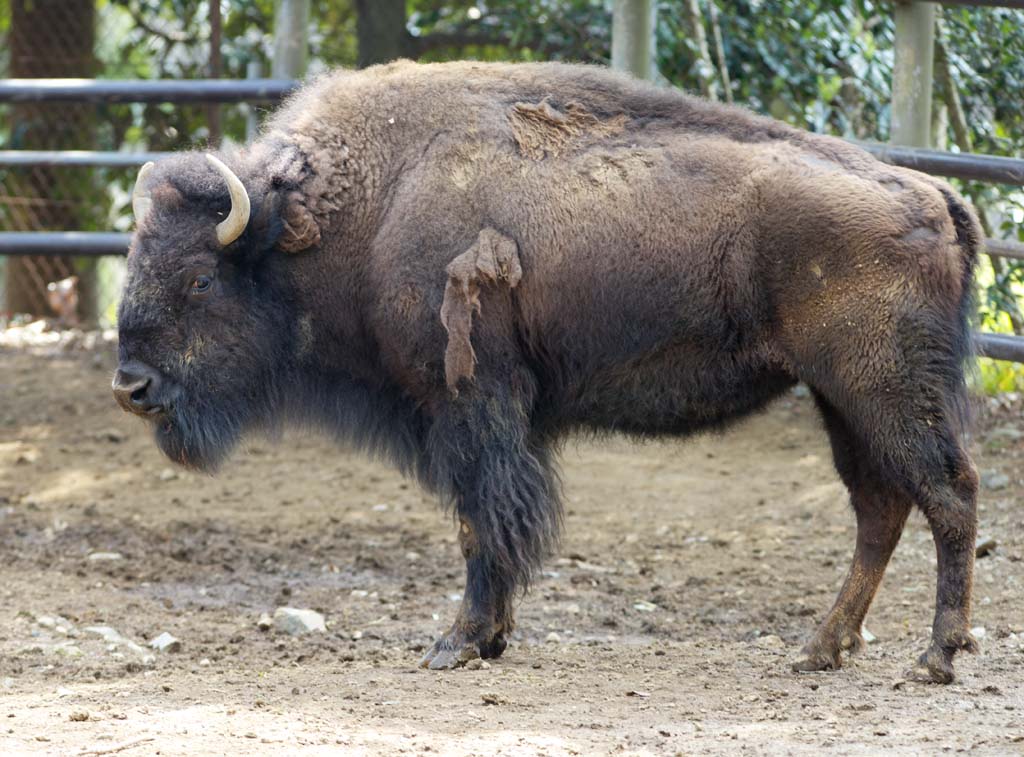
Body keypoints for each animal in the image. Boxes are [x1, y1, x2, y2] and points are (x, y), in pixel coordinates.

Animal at [114, 62, 983, 684]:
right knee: (880, 506)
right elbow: (492, 517)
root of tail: (933, 193)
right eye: (135, 257)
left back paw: (935, 656)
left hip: (883, 390)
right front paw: (489, 636)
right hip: (839, 397)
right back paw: (822, 647)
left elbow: (482, 518)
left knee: (946, 493)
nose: (131, 387)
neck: (353, 207)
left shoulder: (468, 403)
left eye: (200, 278)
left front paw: (460, 641)